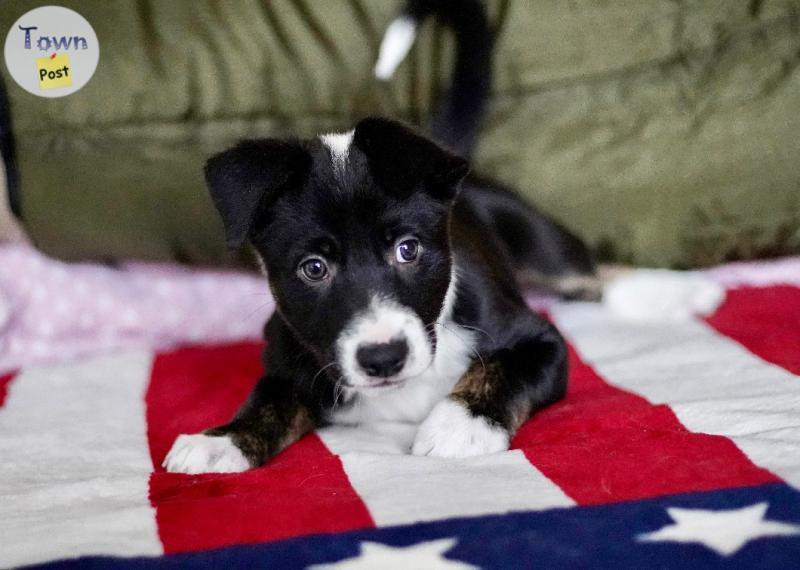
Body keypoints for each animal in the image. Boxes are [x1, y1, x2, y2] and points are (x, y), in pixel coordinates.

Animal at [162, 0, 592, 470]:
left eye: (408, 249)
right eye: (314, 268)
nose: (383, 358)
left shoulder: (542, 342)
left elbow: (503, 370)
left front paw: (461, 424)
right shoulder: (287, 357)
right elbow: (269, 399)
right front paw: (222, 439)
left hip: (541, 243)